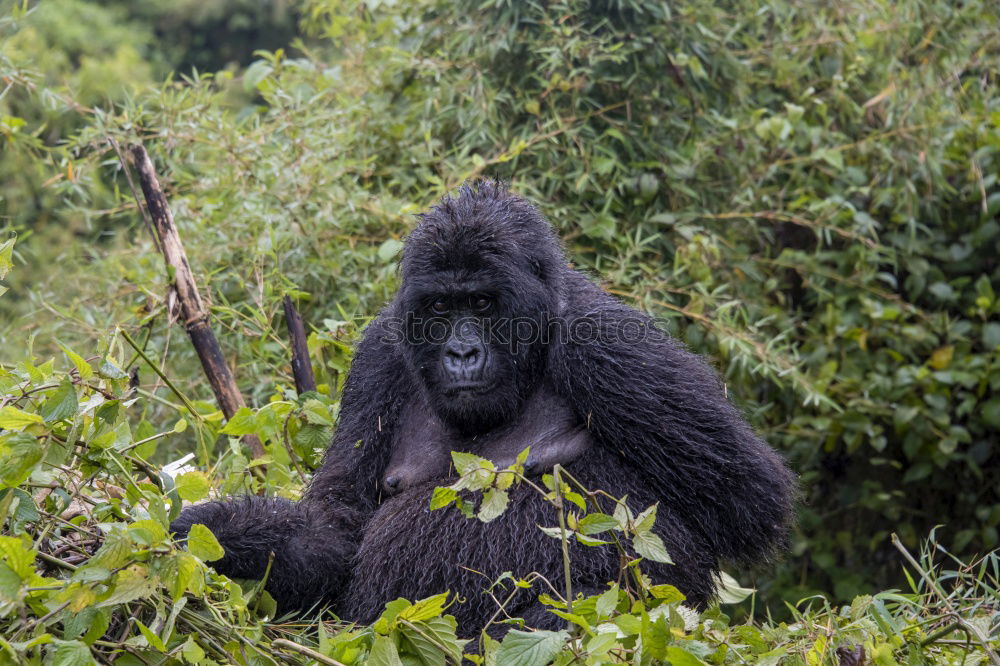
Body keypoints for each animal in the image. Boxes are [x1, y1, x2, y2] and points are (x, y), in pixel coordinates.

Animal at [174, 179, 796, 632]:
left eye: (480, 303)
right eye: (440, 307)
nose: (461, 352)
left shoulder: (605, 340)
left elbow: (743, 503)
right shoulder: (379, 356)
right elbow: (338, 524)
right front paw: (207, 534)